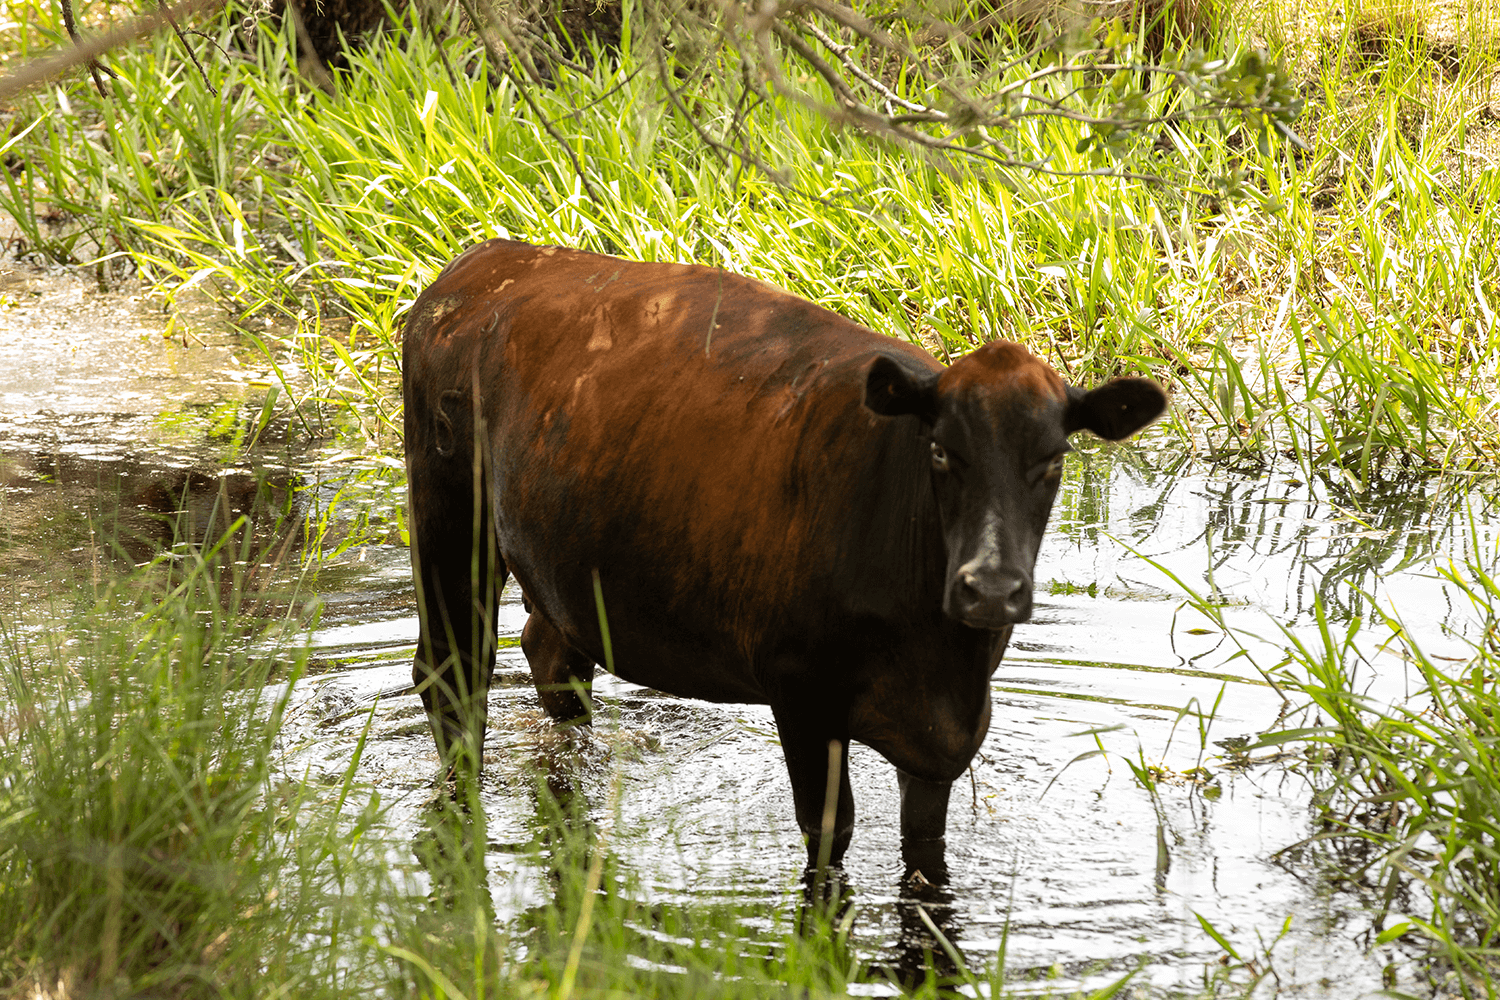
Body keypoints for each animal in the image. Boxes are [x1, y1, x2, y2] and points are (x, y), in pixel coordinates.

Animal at [405, 238, 1164, 869]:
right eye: (942, 452)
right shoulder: (799, 690)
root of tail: (487, 259)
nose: (991, 586)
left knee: (551, 653)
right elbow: (830, 835)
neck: (941, 657)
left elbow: (924, 850)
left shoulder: (940, 743)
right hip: (448, 516)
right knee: (452, 676)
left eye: (1052, 460)